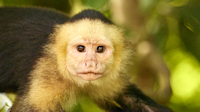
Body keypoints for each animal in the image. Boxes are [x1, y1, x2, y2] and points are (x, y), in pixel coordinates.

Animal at [0, 6, 172, 111]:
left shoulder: (110, 78)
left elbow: (129, 98)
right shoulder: (47, 72)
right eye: (80, 48)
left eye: (100, 49)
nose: (91, 63)